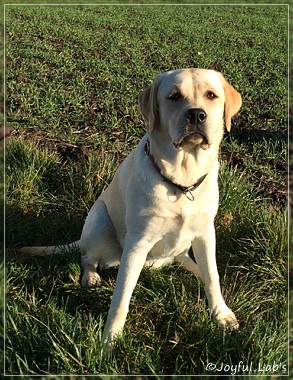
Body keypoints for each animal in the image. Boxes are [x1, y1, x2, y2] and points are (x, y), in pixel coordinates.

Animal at [20, 67, 241, 344]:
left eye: (211, 95)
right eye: (174, 96)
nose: (196, 114)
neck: (182, 182)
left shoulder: (205, 233)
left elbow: (213, 277)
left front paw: (221, 314)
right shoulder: (138, 242)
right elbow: (121, 297)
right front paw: (109, 341)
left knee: (187, 259)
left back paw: (195, 269)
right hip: (99, 218)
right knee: (87, 257)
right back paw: (91, 275)